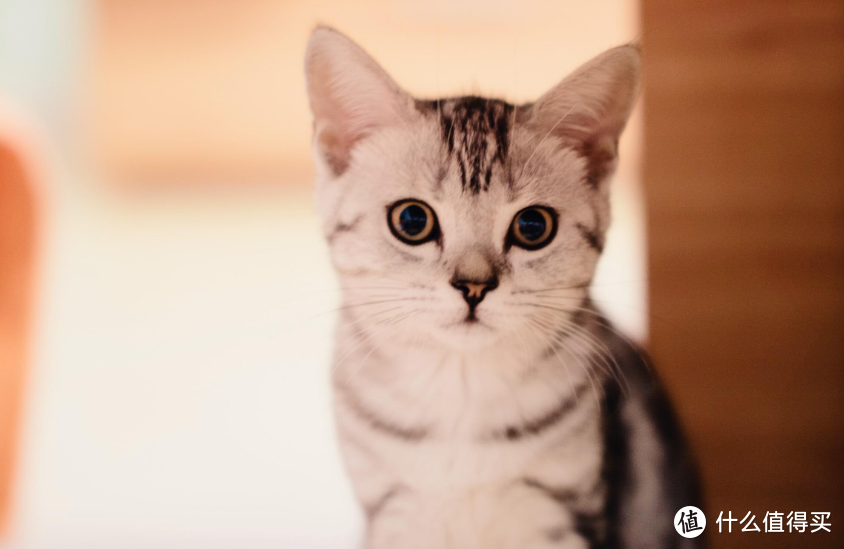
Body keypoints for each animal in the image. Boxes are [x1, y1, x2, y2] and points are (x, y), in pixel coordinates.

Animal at [306, 25, 704, 548]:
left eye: (533, 226)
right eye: (411, 220)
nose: (474, 286)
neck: (460, 393)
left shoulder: (564, 516)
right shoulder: (393, 513)